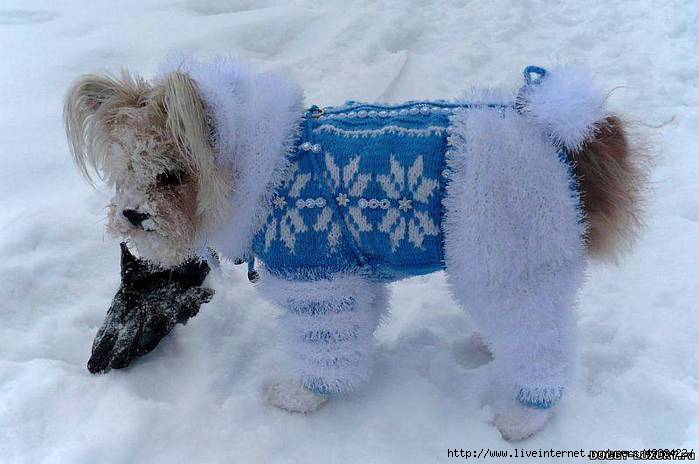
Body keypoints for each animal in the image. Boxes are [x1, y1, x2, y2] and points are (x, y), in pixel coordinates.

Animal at [63, 57, 648, 438]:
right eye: (122, 174)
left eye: (169, 176)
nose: (131, 215)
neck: (268, 167)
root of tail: (559, 134)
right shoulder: (349, 277)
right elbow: (350, 336)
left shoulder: (318, 275)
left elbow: (325, 347)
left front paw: (305, 396)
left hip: (510, 254)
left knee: (541, 343)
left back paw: (526, 415)